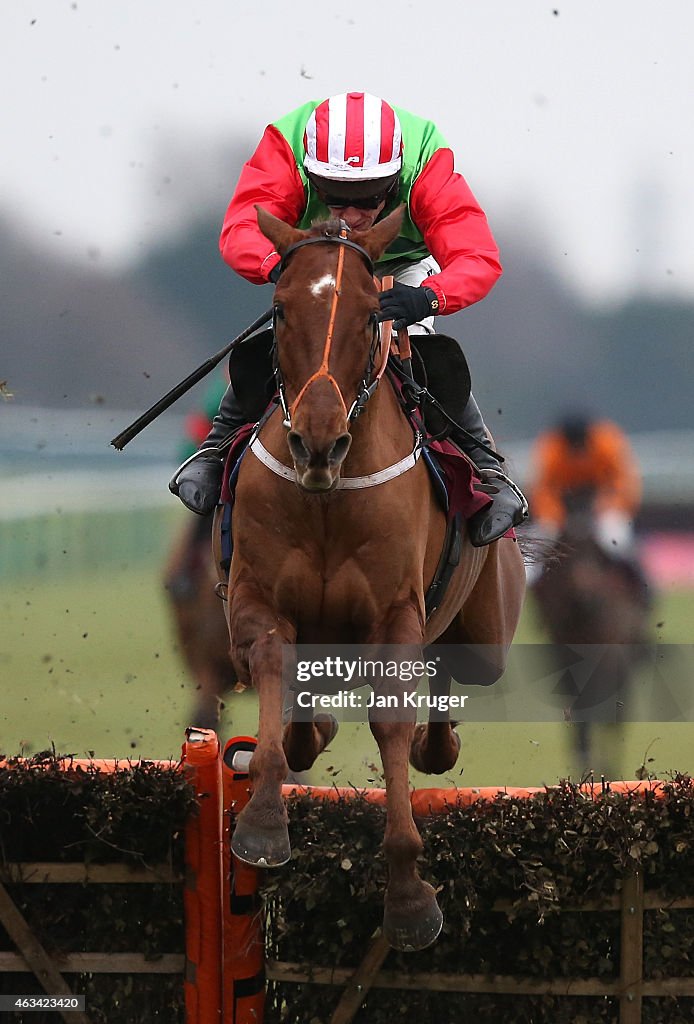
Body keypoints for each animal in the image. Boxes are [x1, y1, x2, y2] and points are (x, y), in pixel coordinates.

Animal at [220, 205, 524, 950]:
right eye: (279, 307)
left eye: (369, 316)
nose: (318, 443)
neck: (329, 497)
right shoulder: (255, 601)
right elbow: (274, 671)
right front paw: (263, 822)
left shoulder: (395, 614)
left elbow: (390, 714)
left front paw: (410, 898)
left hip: (485, 641)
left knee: (448, 679)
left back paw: (435, 743)